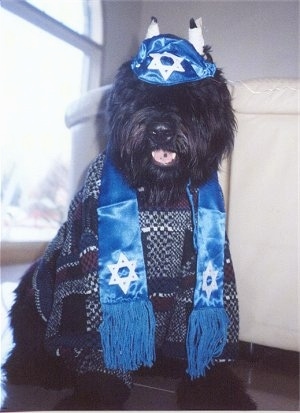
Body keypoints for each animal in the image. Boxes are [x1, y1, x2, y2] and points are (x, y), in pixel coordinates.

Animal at [1, 18, 256, 408]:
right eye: (141, 94)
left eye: (191, 99)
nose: (161, 130)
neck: (156, 193)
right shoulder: (93, 269)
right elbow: (106, 338)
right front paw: (96, 392)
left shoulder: (202, 273)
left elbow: (201, 332)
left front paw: (217, 389)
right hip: (34, 291)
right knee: (24, 354)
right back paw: (44, 370)